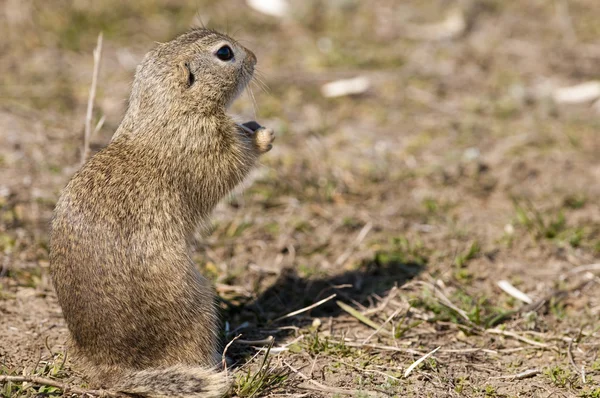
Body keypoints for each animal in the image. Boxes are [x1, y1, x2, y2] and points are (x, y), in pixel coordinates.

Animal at [49, 28, 274, 398]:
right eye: (225, 53)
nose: (255, 56)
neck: (170, 107)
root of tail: (111, 370)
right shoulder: (207, 146)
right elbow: (233, 162)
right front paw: (264, 137)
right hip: (198, 305)